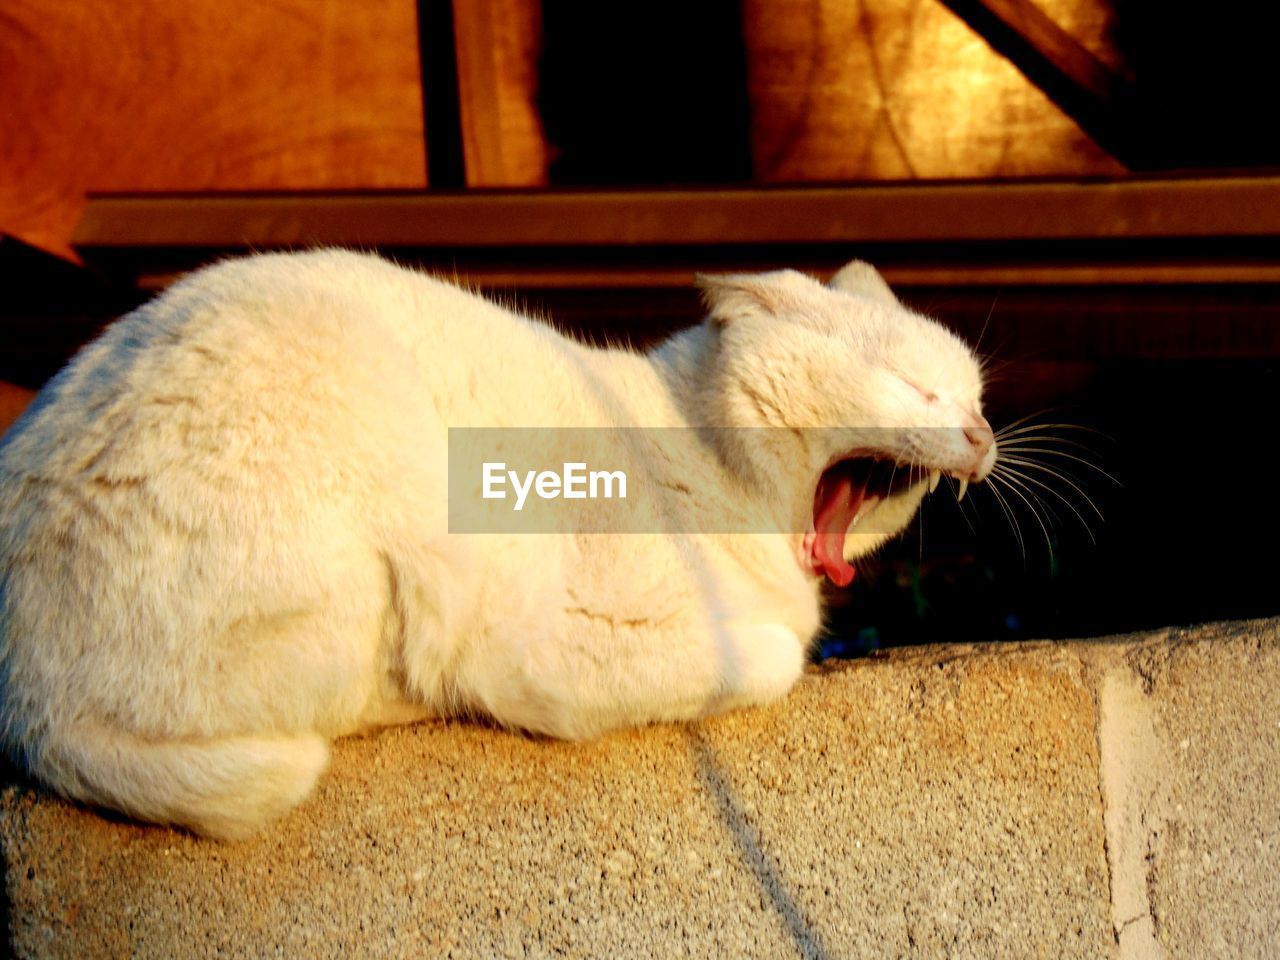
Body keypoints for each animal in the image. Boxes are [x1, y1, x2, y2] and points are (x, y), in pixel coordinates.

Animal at [0, 252, 998, 839]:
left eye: (977, 399)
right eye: (916, 389)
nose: (983, 436)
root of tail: (29, 711)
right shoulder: (561, 639)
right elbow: (767, 658)